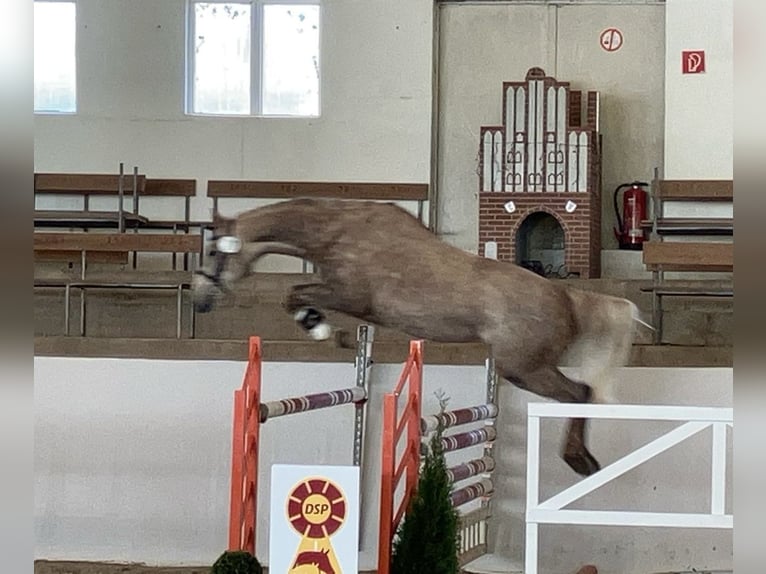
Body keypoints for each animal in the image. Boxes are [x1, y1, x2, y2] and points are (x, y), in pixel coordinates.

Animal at [193, 197, 648, 477]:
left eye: (214, 252)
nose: (198, 301)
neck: (336, 231)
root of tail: (566, 294)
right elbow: (296, 294)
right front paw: (318, 324)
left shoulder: (351, 296)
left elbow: (294, 294)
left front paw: (316, 324)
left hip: (525, 368)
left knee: (580, 393)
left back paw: (579, 460)